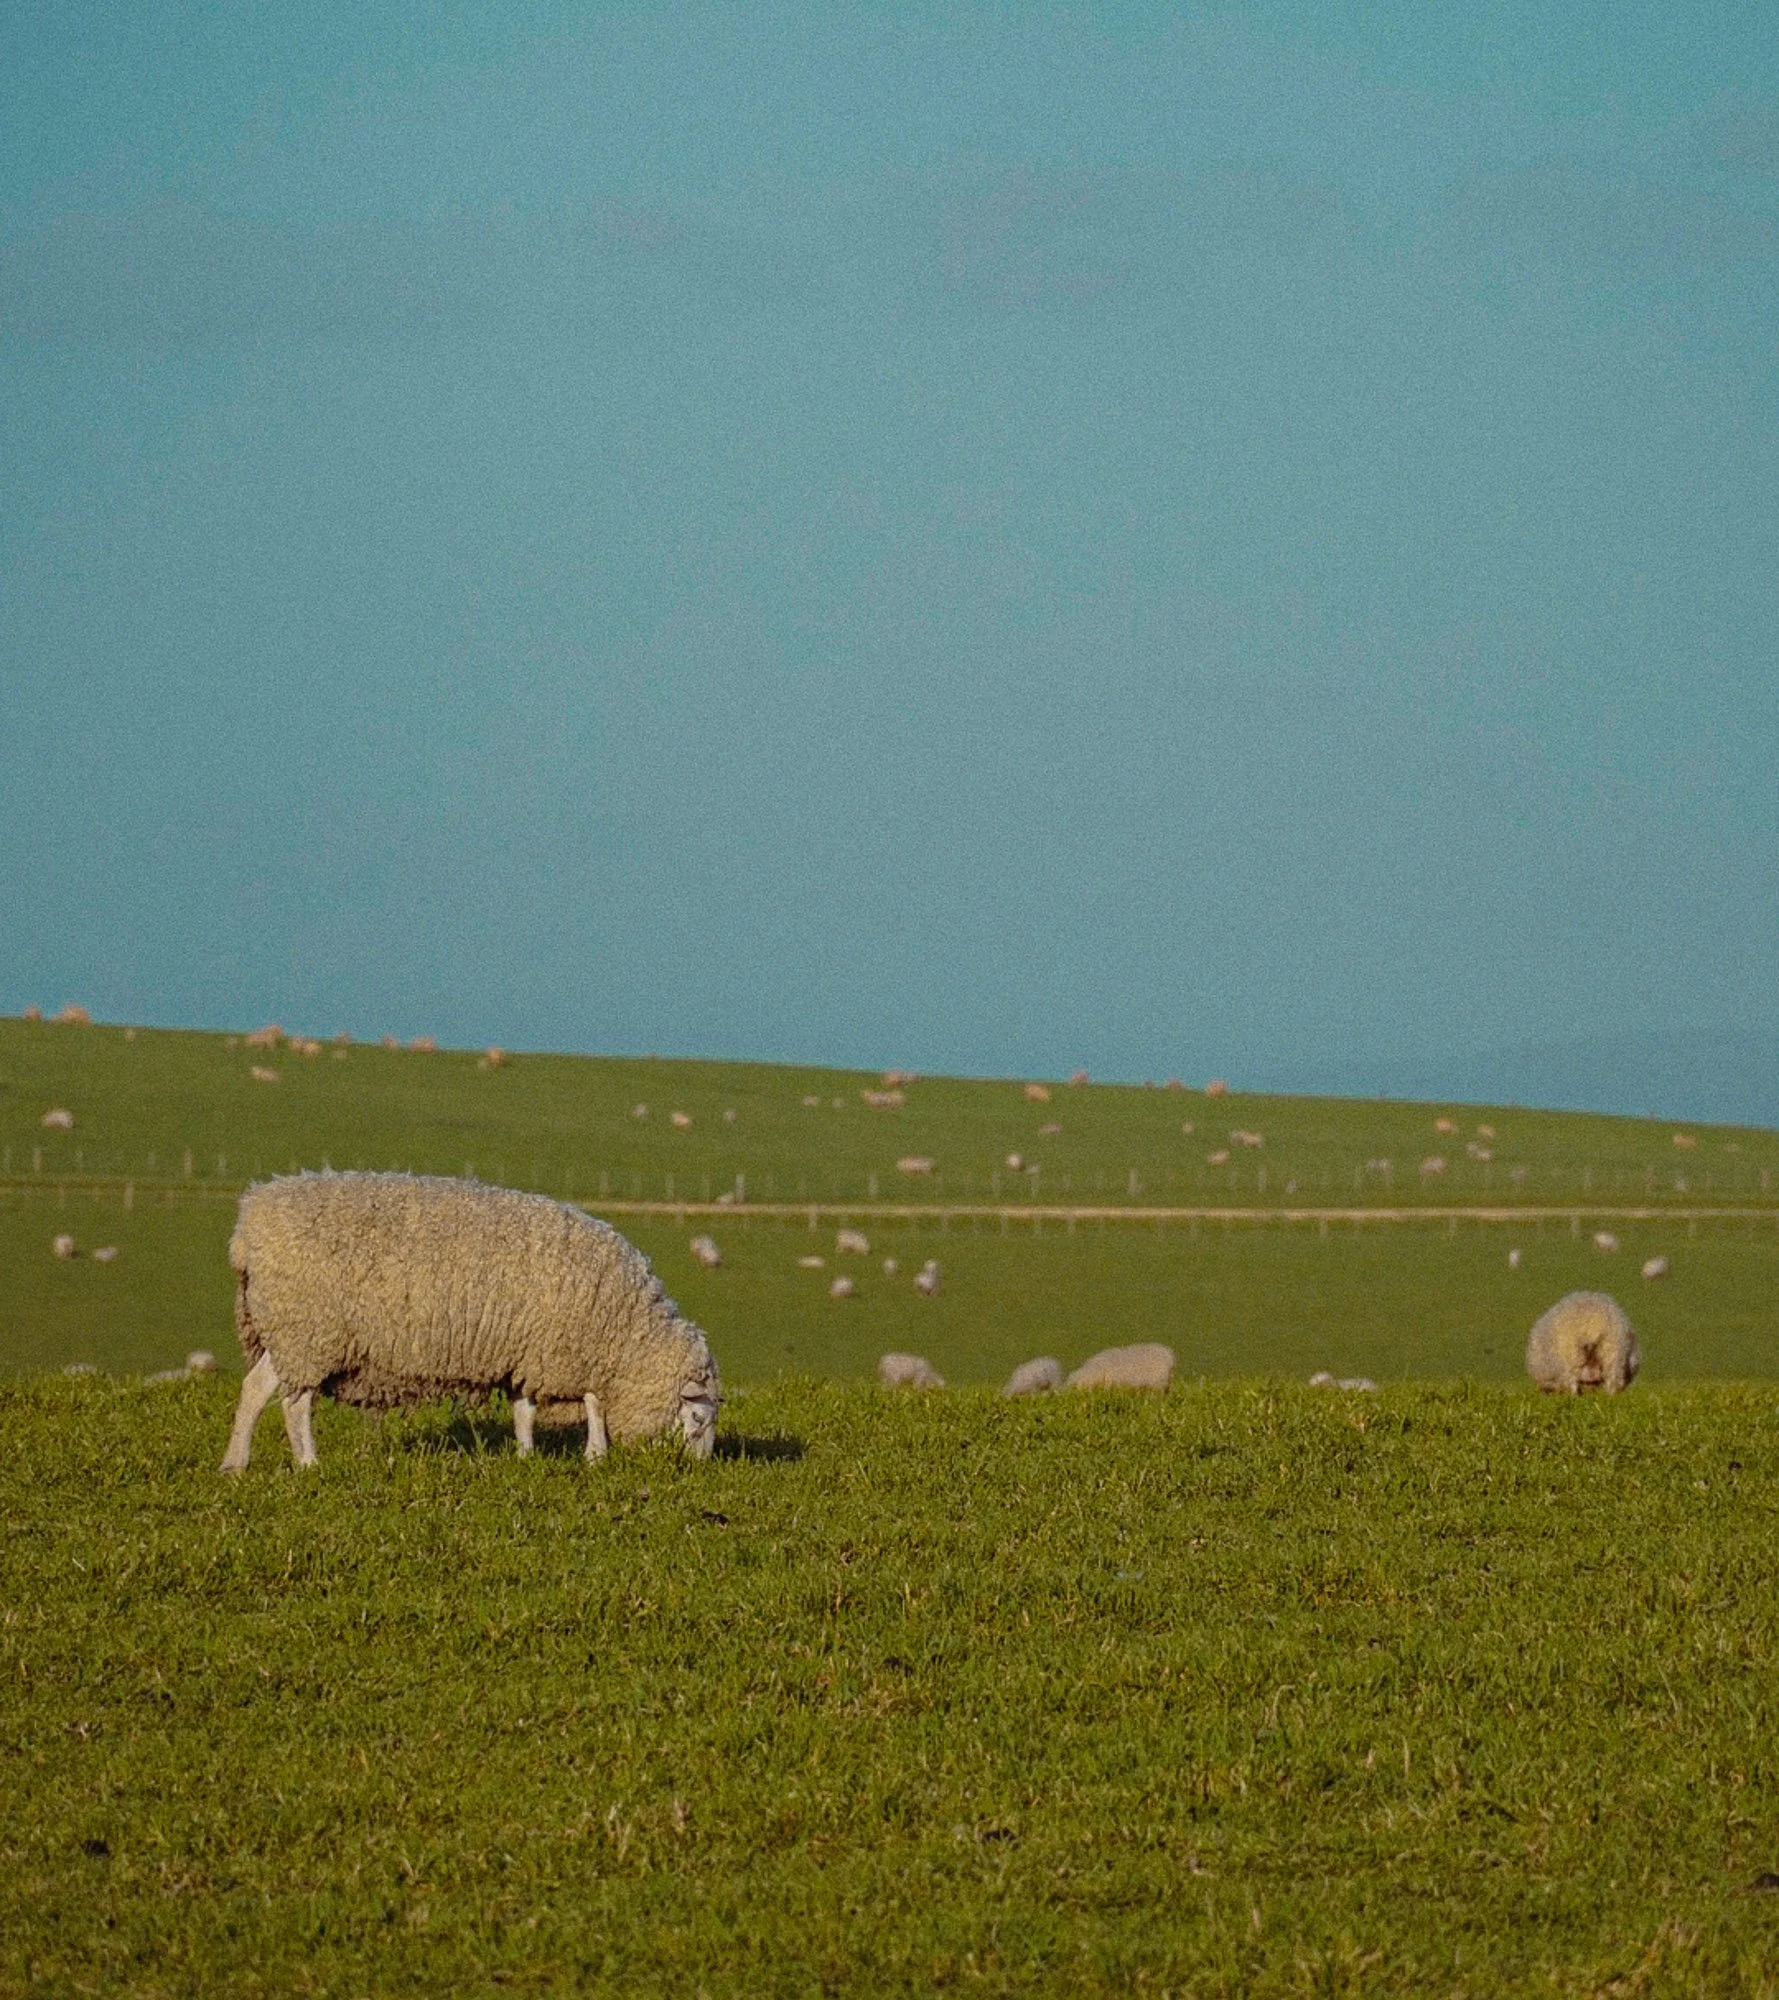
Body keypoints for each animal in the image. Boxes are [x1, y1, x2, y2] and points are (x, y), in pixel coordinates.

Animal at [220, 1172, 719, 1472]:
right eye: (697, 1417)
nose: (700, 1469)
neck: (631, 1331)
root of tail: (248, 1225)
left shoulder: (529, 1353)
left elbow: (524, 1409)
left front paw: (525, 1455)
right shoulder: (575, 1350)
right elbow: (595, 1403)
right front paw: (595, 1455)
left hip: (287, 1334)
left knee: (255, 1389)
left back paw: (235, 1464)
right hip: (308, 1331)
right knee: (295, 1403)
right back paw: (308, 1463)